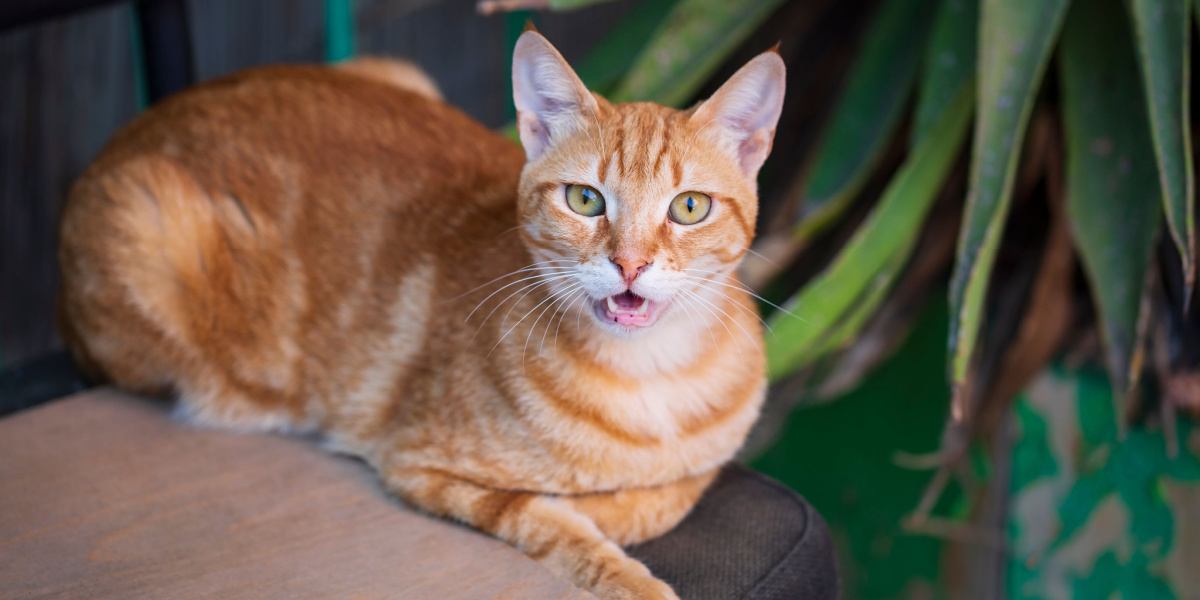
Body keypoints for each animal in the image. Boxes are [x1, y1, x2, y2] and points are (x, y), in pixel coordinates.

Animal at [56, 34, 787, 600]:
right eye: (585, 199)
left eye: (689, 207)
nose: (630, 264)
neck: (652, 378)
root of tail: (137, 125)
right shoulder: (421, 466)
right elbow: (556, 517)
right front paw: (621, 557)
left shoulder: (708, 459)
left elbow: (671, 492)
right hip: (146, 232)